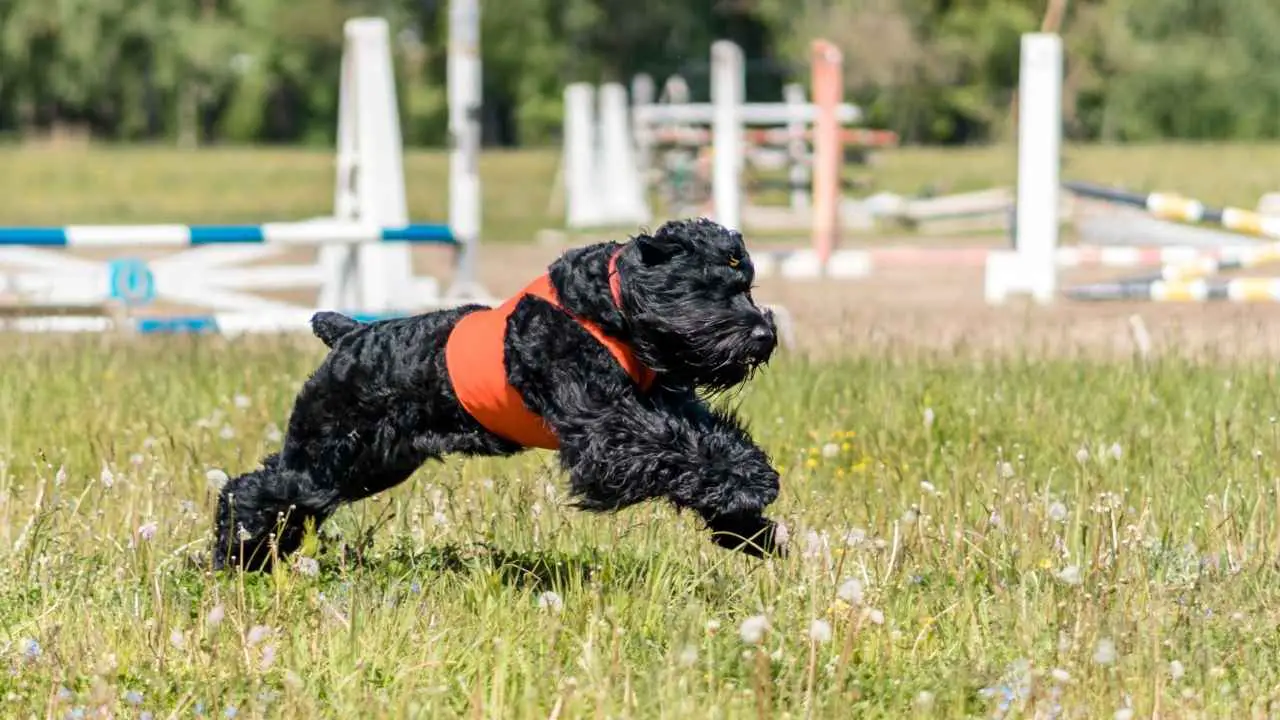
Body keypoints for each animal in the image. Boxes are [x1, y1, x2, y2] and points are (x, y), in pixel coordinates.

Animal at [215, 215, 783, 568]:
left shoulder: (663, 404)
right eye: (709, 286)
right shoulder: (606, 431)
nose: (764, 335)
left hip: (369, 465)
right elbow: (674, 450)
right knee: (249, 490)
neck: (607, 308)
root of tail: (349, 335)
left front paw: (750, 525)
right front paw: (750, 490)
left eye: (748, 285)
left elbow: (708, 439)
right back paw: (234, 557)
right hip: (328, 454)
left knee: (279, 491)